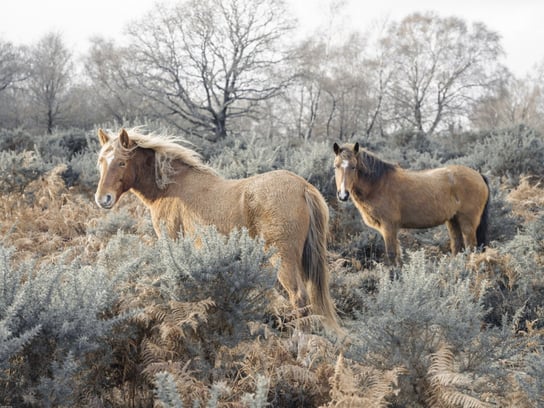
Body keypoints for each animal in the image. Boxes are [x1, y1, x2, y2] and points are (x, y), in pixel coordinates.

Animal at [95, 129, 338, 330]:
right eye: (101, 162)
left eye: (121, 163)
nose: (102, 199)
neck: (170, 187)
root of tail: (303, 187)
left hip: (283, 258)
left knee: (298, 297)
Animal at [334, 143, 490, 264]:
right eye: (336, 166)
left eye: (353, 166)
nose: (343, 195)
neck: (379, 184)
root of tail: (478, 175)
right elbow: (398, 256)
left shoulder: (388, 227)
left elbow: (391, 255)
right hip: (453, 221)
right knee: (457, 247)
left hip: (467, 223)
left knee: (471, 248)